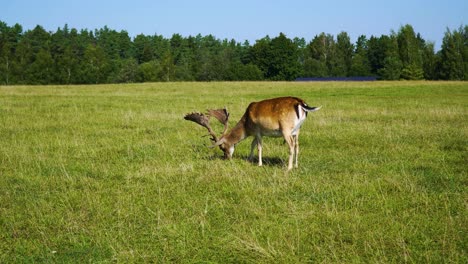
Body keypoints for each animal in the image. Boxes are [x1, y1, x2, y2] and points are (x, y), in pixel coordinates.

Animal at [185, 96, 320, 170]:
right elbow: (252, 145)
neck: (247, 126)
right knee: (297, 146)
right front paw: (249, 159)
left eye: (222, 148)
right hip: (297, 130)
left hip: (286, 129)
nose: (227, 158)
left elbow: (259, 147)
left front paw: (259, 164)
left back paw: (288, 167)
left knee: (291, 146)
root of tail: (300, 103)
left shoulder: (258, 131)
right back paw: (296, 165)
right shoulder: (256, 134)